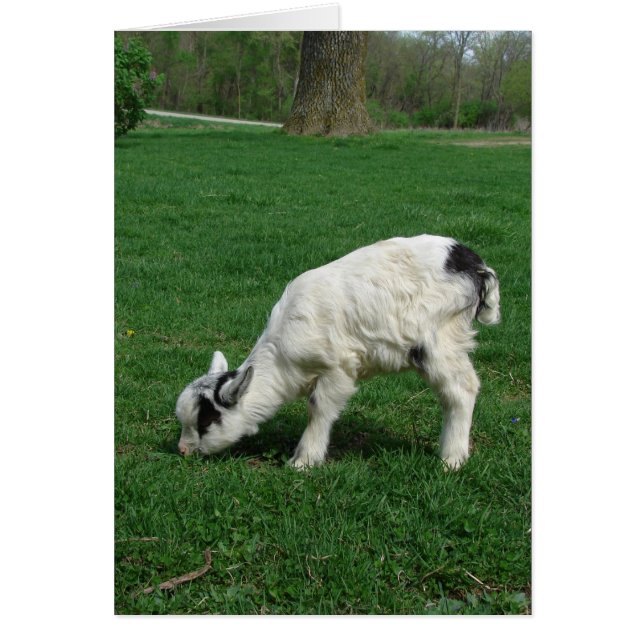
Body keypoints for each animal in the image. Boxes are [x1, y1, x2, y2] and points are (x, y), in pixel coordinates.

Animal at [176, 234, 500, 469]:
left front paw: (304, 461)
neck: (282, 359)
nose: (182, 450)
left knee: (461, 389)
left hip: (438, 338)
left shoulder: (338, 367)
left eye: (206, 421)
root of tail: (477, 267)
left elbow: (318, 407)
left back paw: (451, 460)